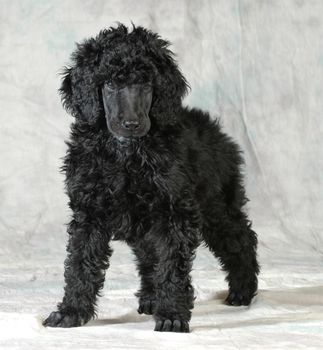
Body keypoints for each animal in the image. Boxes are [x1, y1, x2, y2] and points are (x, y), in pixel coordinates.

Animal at [43, 23, 260, 330]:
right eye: (110, 84)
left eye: (146, 85)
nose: (132, 123)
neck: (126, 154)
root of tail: (216, 130)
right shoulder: (89, 212)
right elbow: (80, 262)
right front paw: (71, 311)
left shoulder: (175, 211)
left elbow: (171, 265)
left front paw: (171, 315)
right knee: (149, 257)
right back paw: (149, 299)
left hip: (217, 206)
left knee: (241, 240)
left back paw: (242, 290)